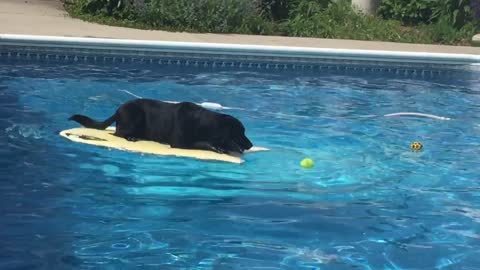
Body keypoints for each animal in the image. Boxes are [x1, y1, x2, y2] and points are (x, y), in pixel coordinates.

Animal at [70, 98, 255, 154]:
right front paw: (217, 147)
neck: (203, 123)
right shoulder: (180, 143)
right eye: (241, 132)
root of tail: (118, 109)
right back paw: (131, 137)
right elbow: (202, 143)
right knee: (118, 133)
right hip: (135, 115)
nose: (251, 145)